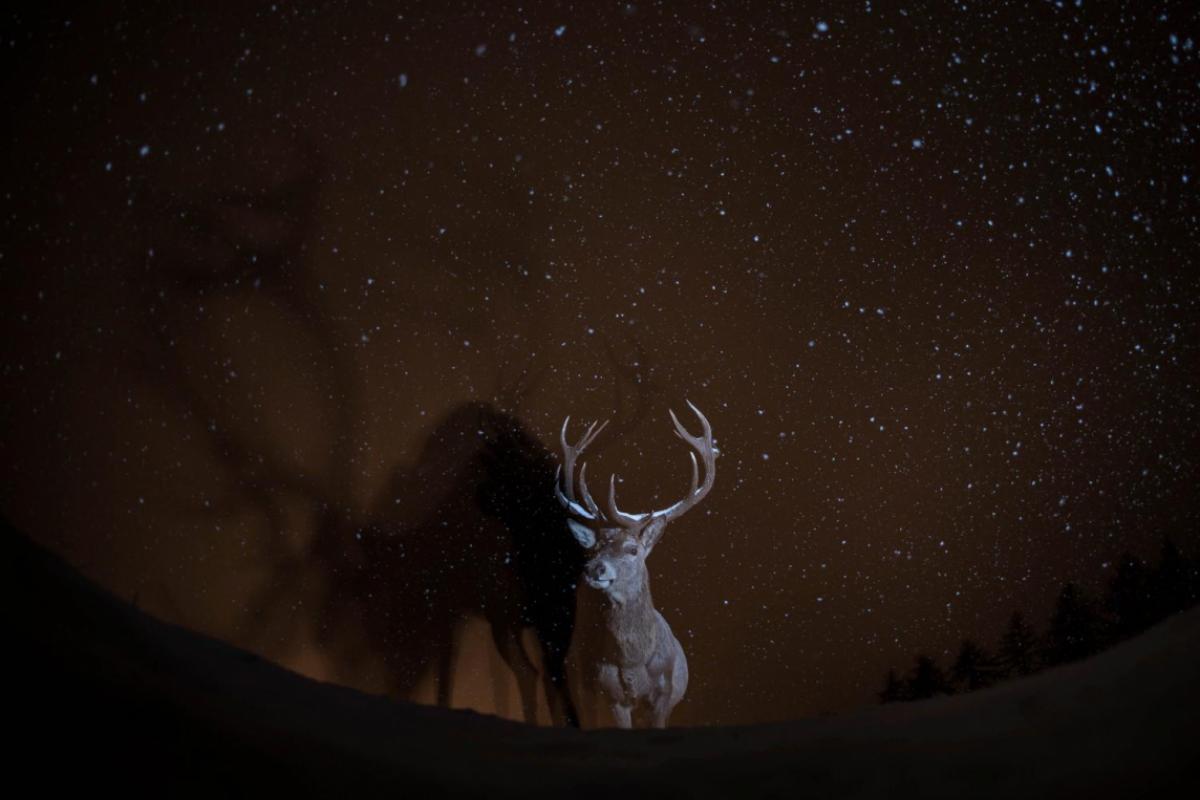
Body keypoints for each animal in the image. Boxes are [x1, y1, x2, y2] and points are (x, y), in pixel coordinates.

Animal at [555, 401, 715, 729]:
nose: (595, 569)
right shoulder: (613, 696)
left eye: (632, 549)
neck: (633, 661)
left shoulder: (664, 694)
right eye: (594, 549)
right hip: (578, 686)